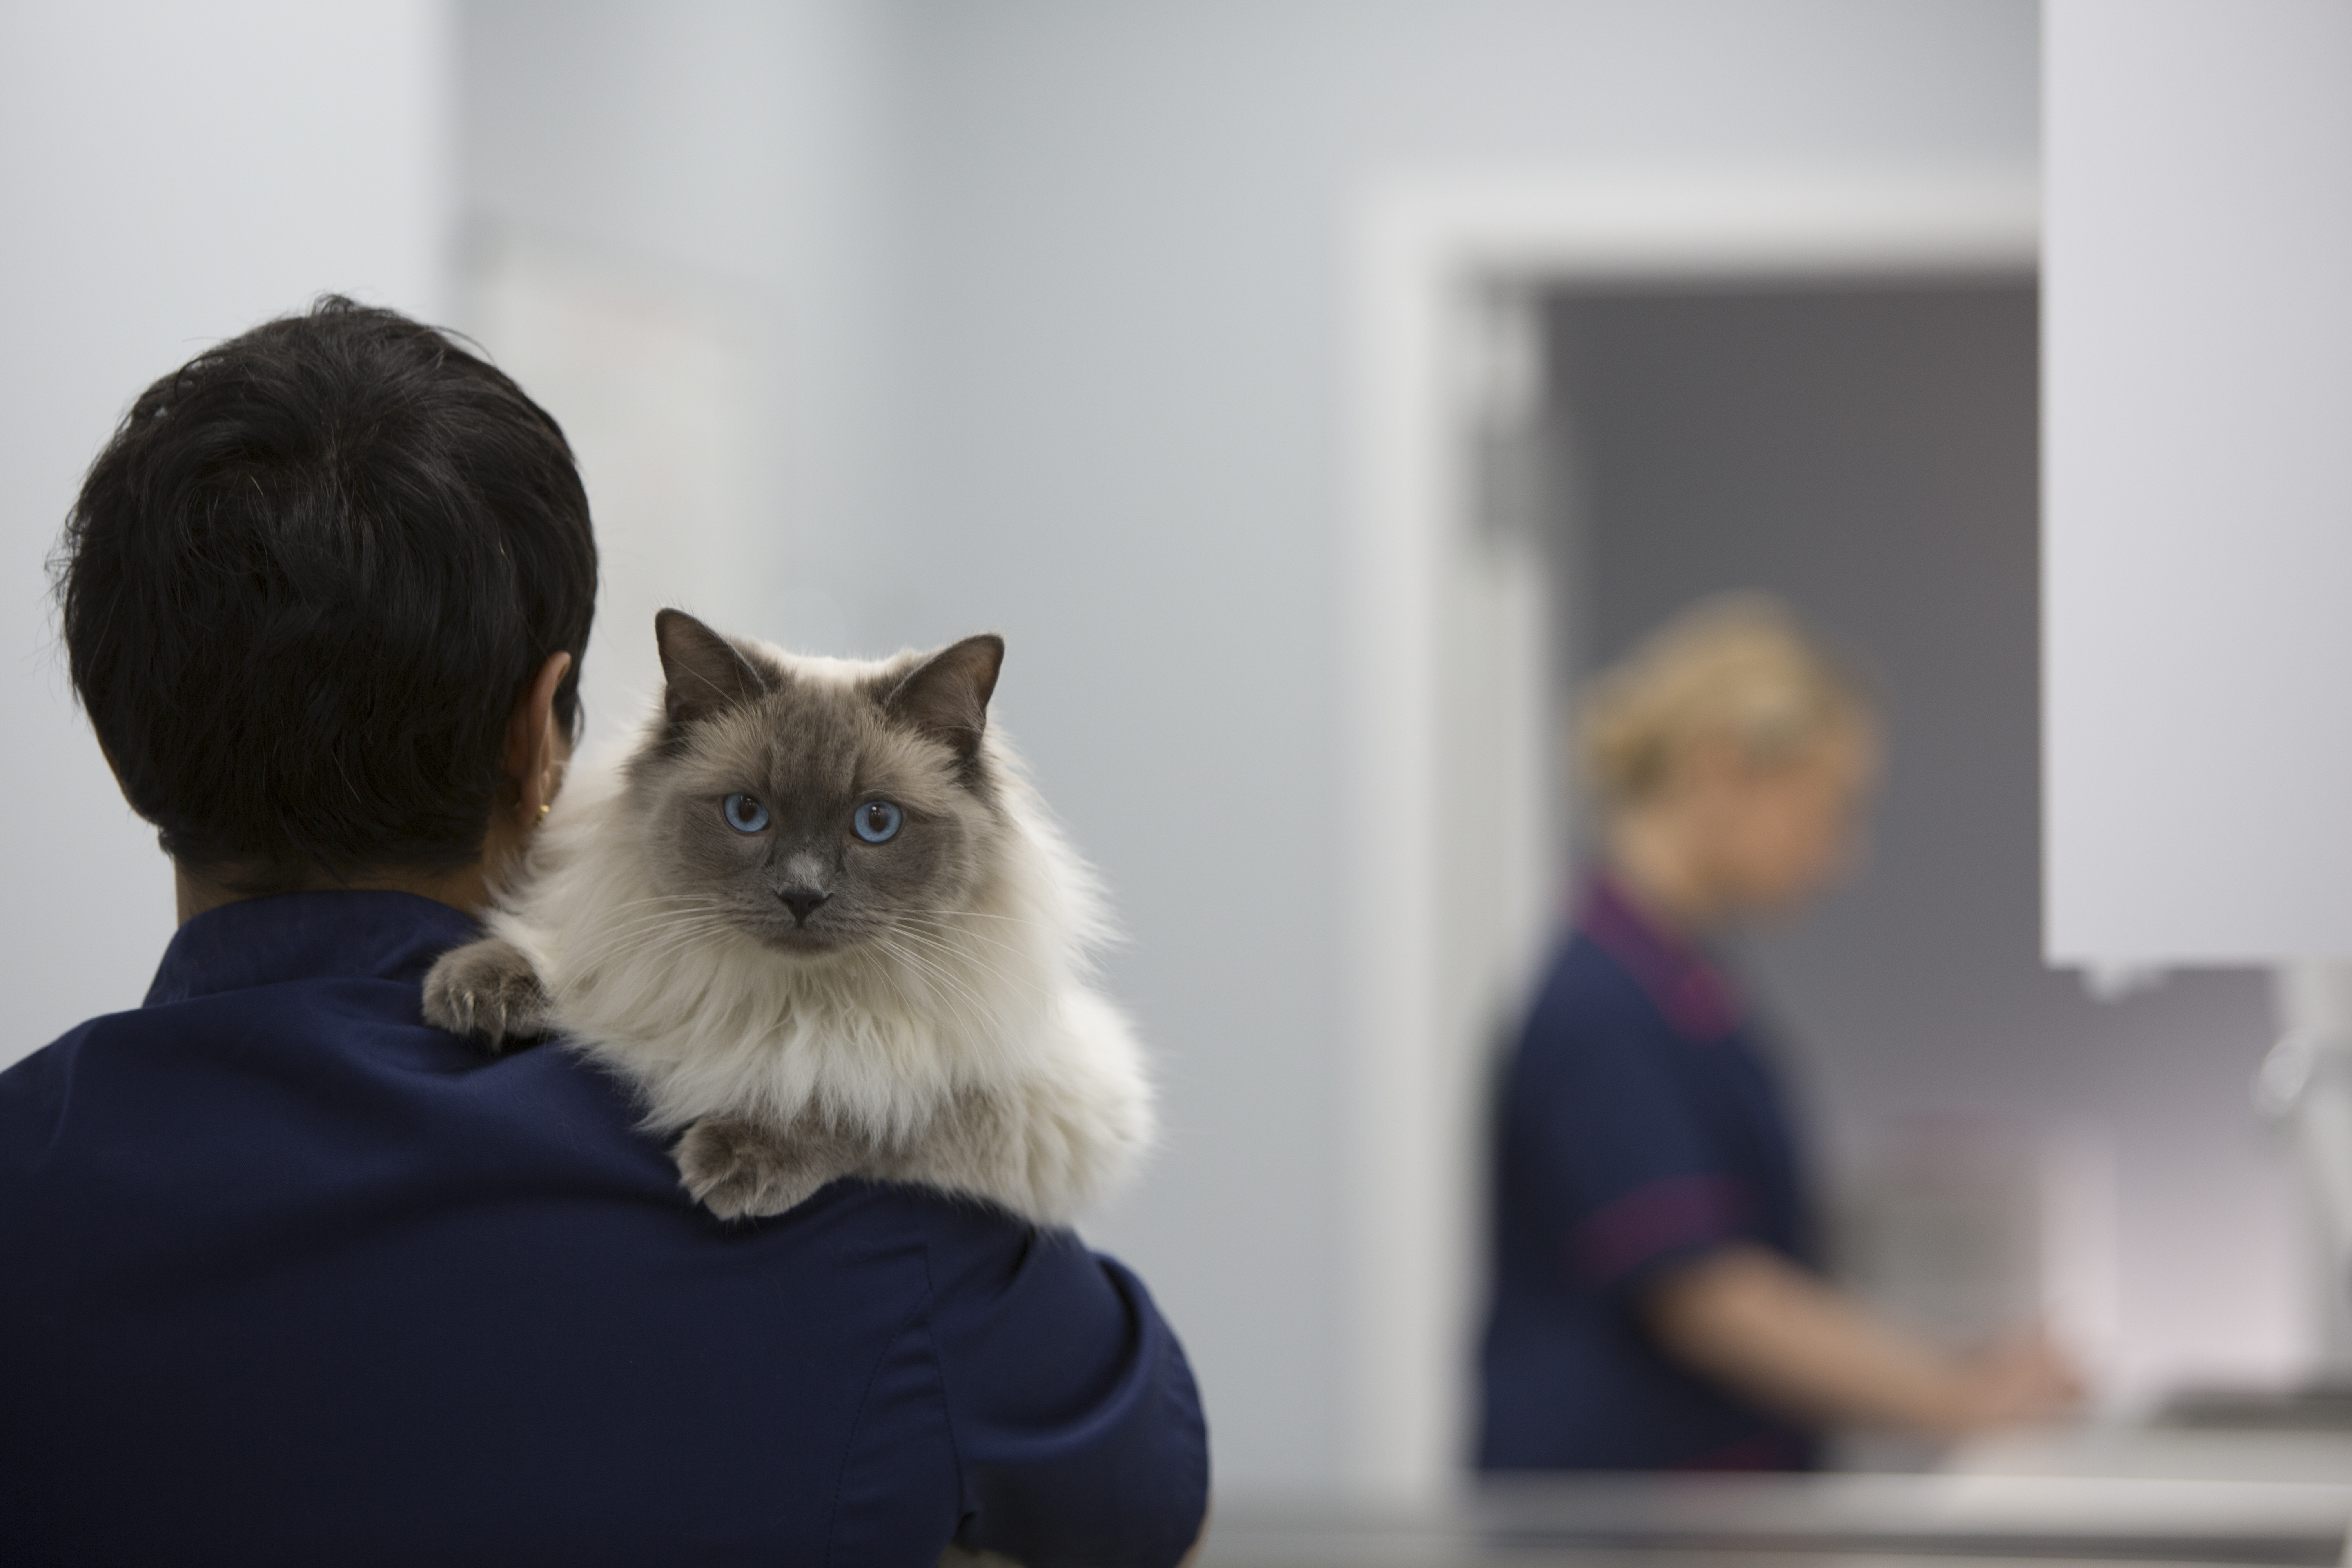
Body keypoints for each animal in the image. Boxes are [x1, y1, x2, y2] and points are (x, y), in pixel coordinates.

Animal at [428, 606, 1162, 1232]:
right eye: (747, 814)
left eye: (876, 823)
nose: (802, 895)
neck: (786, 999)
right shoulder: (642, 954)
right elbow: (580, 967)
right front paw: (475, 991)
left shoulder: (1014, 1085)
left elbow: (873, 1095)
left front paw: (745, 1154)